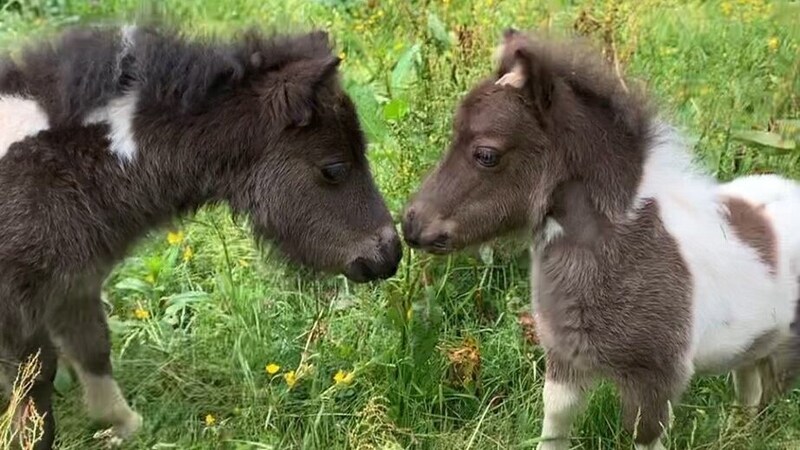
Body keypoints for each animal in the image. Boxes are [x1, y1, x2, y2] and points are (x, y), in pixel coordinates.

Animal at [404, 29, 800, 448]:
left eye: (486, 154)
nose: (411, 225)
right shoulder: (565, 361)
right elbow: (555, 423)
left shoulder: (655, 381)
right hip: (755, 346)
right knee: (749, 388)